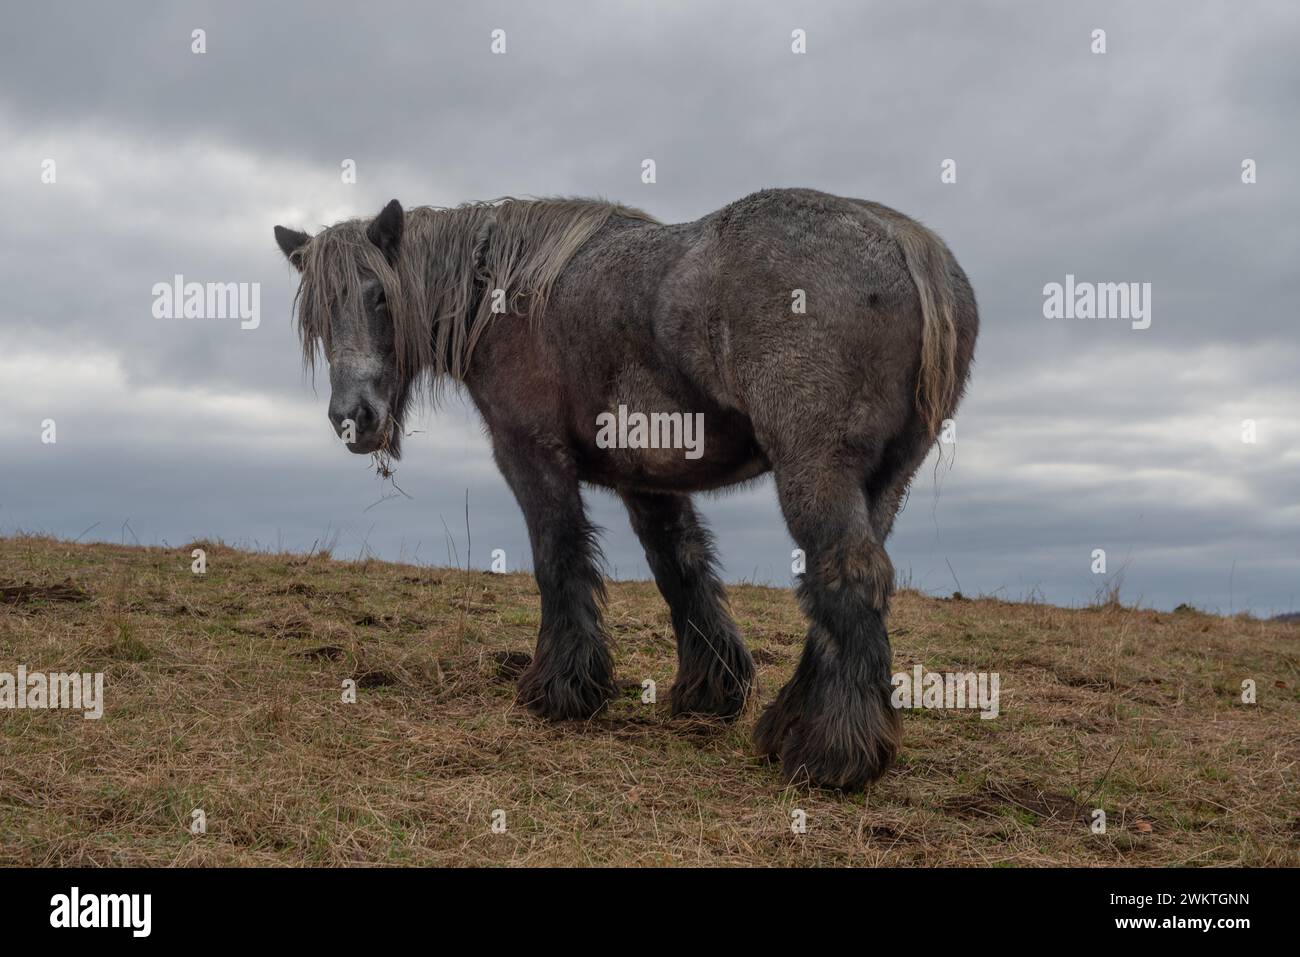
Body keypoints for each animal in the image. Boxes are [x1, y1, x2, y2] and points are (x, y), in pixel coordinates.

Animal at [274, 188, 978, 789]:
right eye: (318, 316)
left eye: (380, 296)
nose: (354, 418)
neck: (505, 293)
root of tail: (908, 244)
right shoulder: (651, 478)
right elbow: (680, 568)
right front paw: (710, 691)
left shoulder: (530, 454)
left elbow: (559, 559)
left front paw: (561, 690)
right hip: (880, 485)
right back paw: (793, 726)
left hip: (816, 470)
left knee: (848, 576)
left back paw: (831, 753)